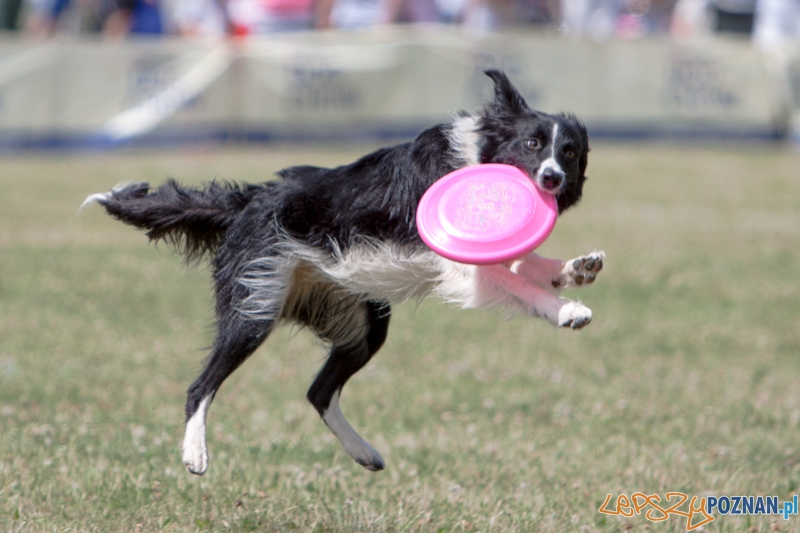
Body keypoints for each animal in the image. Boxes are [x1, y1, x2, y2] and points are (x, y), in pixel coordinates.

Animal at [84, 69, 604, 474]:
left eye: (570, 151)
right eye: (532, 143)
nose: (552, 178)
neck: (478, 156)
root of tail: (249, 199)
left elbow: (526, 261)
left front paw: (574, 268)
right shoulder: (459, 266)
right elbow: (516, 281)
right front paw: (567, 310)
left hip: (364, 317)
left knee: (318, 391)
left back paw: (364, 452)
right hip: (257, 301)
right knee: (201, 386)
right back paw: (195, 454)